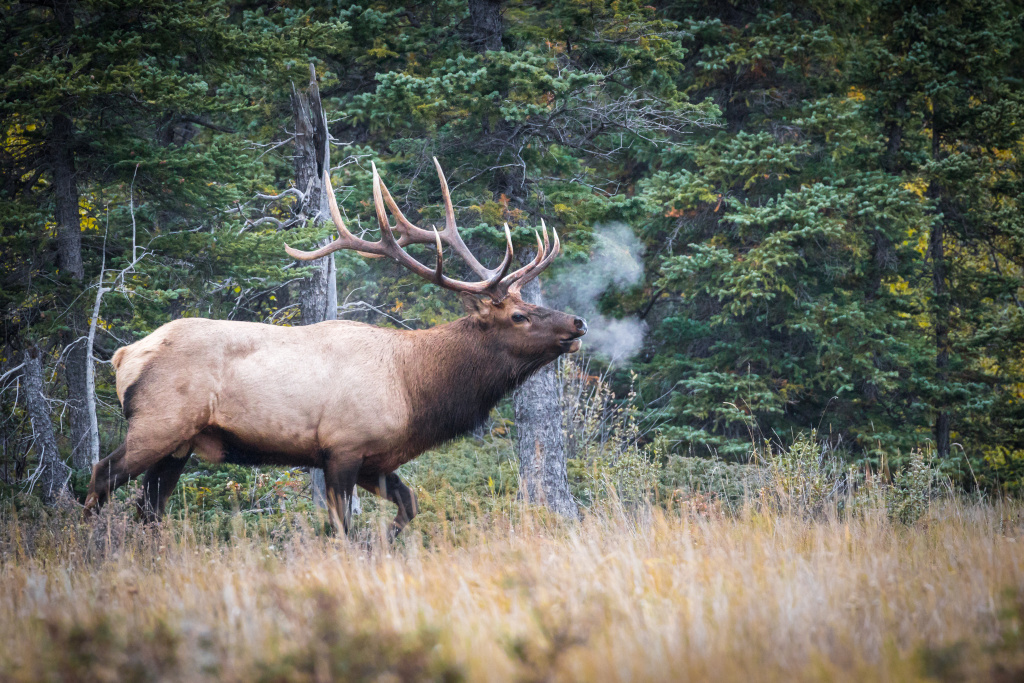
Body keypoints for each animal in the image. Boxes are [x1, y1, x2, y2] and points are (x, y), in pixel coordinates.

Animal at [84, 159, 587, 538]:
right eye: (518, 315)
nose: (577, 322)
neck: (415, 392)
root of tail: (124, 356)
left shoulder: (375, 460)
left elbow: (409, 505)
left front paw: (387, 540)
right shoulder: (343, 446)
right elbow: (343, 527)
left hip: (180, 444)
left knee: (149, 508)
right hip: (159, 423)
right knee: (102, 475)